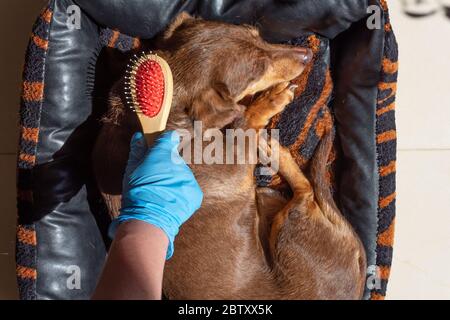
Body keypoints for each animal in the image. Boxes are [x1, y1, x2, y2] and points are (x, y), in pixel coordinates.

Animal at [93, 13, 368, 300]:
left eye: (258, 35)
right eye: (259, 69)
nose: (308, 54)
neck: (169, 110)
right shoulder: (236, 164)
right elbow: (245, 122)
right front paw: (269, 101)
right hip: (287, 229)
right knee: (306, 191)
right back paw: (272, 148)